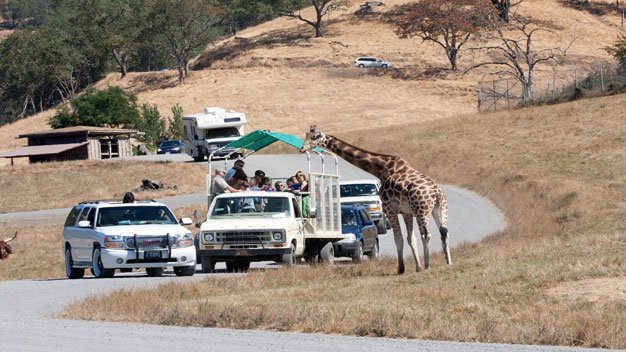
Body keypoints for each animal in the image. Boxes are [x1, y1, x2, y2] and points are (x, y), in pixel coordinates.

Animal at [302, 125, 450, 274]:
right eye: (306, 135)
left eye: (314, 137)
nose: (302, 148)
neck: (381, 169)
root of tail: (437, 193)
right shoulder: (406, 212)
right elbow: (410, 238)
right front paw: (417, 267)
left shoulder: (389, 209)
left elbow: (399, 238)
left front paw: (401, 269)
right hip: (440, 209)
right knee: (444, 232)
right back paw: (448, 262)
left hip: (422, 211)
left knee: (426, 235)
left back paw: (428, 266)